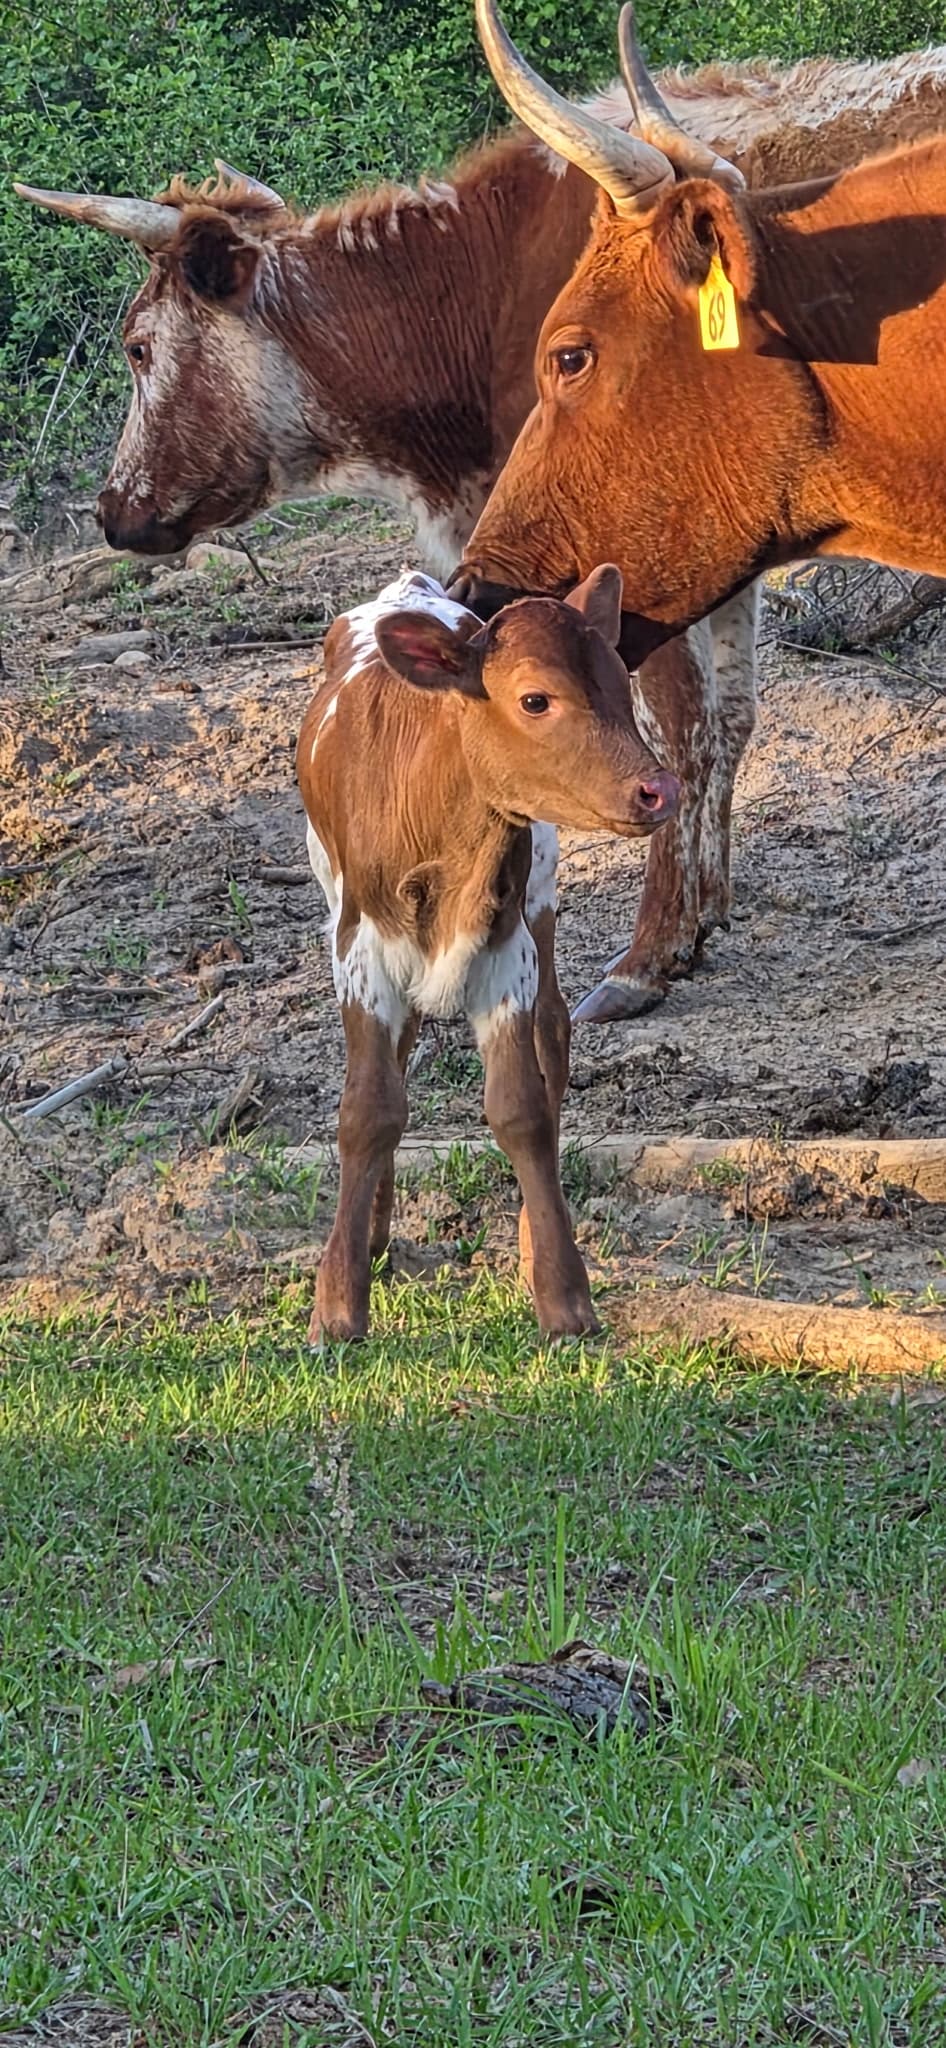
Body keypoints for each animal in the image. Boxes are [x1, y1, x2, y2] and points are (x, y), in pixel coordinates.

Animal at [296, 566, 678, 1342]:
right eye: (535, 699)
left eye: (621, 683)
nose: (658, 789)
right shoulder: (360, 951)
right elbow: (369, 1108)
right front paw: (339, 1303)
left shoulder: (509, 952)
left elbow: (522, 1109)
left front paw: (563, 1296)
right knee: (401, 1054)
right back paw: (375, 1232)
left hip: (544, 887)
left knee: (554, 1029)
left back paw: (531, 1232)